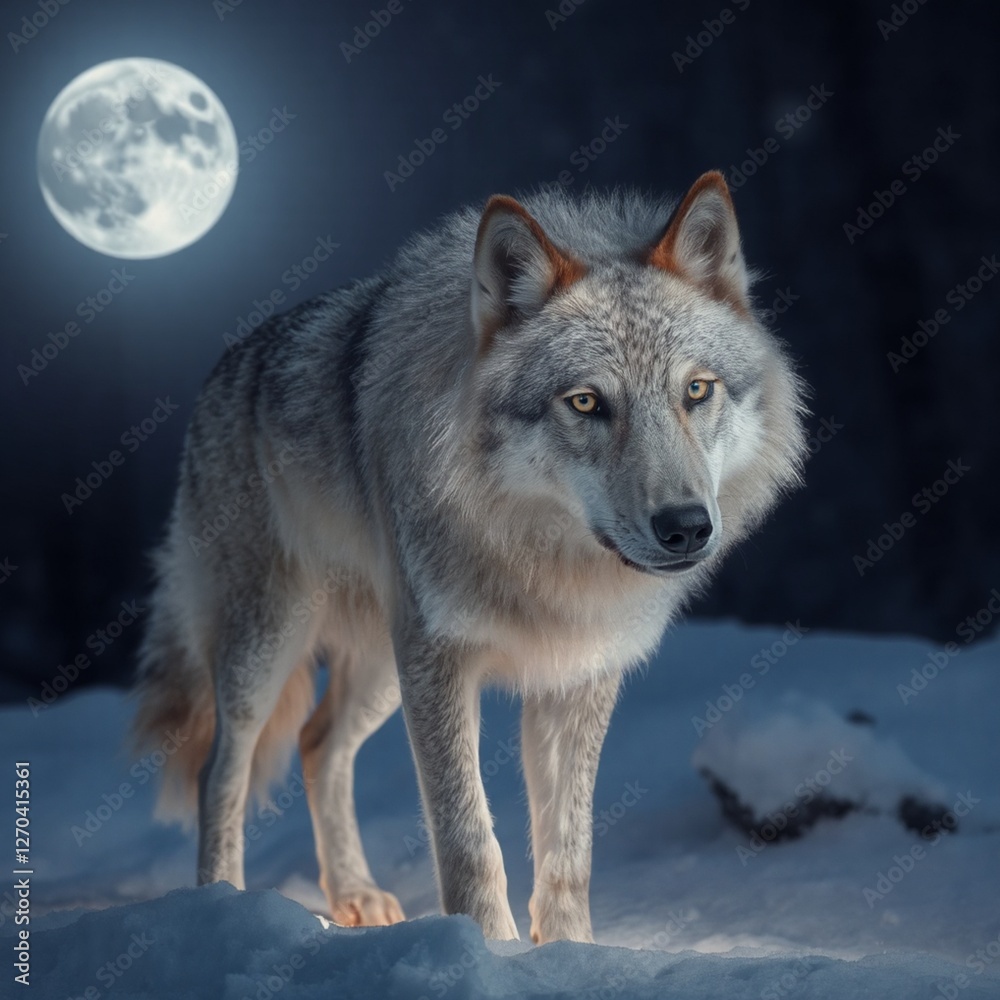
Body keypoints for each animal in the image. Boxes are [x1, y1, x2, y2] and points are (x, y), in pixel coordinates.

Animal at [131, 171, 807, 943]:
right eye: (586, 403)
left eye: (696, 390)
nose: (686, 527)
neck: (545, 560)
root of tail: (226, 363)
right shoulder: (441, 661)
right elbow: (467, 837)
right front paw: (490, 950)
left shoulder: (579, 672)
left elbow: (568, 850)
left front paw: (572, 953)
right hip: (273, 645)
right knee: (223, 769)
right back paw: (221, 905)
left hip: (381, 666)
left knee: (316, 743)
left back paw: (354, 896)